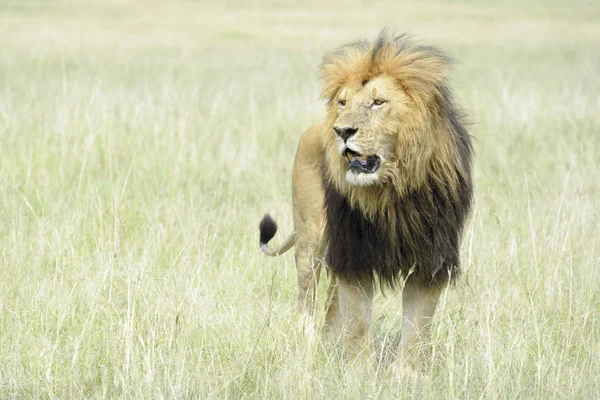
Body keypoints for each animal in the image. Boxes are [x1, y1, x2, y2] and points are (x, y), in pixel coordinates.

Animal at [258, 29, 474, 368]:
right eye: (343, 102)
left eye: (378, 102)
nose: (342, 131)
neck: (392, 192)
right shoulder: (354, 255)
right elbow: (358, 325)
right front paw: (360, 373)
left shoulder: (429, 262)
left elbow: (417, 329)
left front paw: (406, 375)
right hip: (311, 240)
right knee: (306, 299)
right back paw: (308, 346)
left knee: (330, 305)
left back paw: (329, 345)